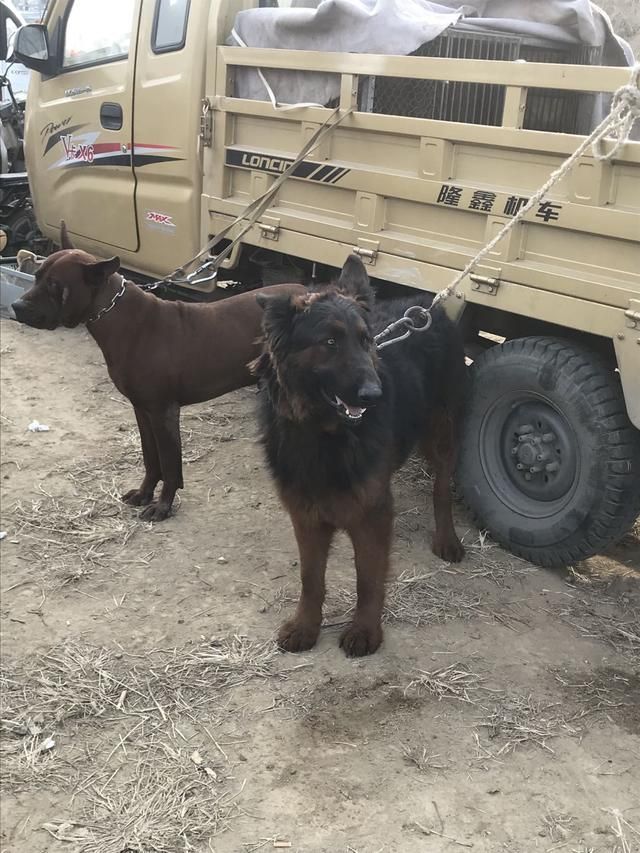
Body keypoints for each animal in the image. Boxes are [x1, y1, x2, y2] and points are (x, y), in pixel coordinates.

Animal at [11, 223, 306, 520]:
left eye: (55, 285)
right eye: (36, 276)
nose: (16, 306)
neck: (117, 316)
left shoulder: (163, 411)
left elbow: (170, 464)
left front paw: (163, 506)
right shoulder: (142, 409)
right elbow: (151, 459)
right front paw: (144, 493)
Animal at [252, 256, 468, 656]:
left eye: (366, 340)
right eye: (330, 342)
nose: (374, 395)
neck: (325, 436)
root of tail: (428, 306)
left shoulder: (371, 515)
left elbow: (368, 578)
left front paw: (366, 631)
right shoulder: (306, 516)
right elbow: (311, 578)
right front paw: (306, 627)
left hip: (442, 435)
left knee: (442, 488)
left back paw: (447, 538)